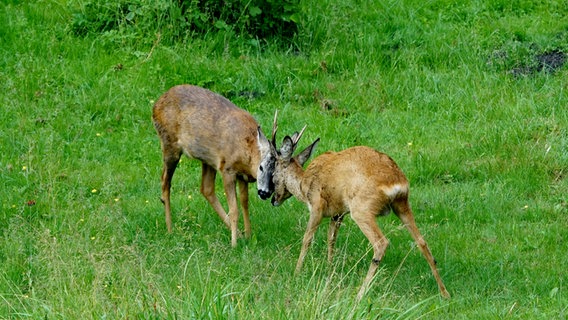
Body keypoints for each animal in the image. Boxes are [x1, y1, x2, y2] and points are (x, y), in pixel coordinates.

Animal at [150, 85, 276, 248]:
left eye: (277, 172)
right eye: (261, 167)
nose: (266, 193)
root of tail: (156, 105)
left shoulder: (242, 176)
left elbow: (244, 203)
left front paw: (248, 235)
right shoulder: (227, 169)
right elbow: (234, 209)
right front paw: (234, 244)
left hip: (207, 160)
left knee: (206, 188)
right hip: (170, 145)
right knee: (165, 181)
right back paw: (170, 229)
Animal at [256, 131, 448, 300]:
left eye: (273, 172)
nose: (270, 197)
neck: (304, 184)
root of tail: (397, 182)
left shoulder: (317, 206)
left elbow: (307, 239)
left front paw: (297, 272)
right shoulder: (338, 214)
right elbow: (331, 240)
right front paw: (330, 269)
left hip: (362, 208)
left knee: (381, 243)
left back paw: (360, 295)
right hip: (402, 205)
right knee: (422, 242)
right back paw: (444, 292)